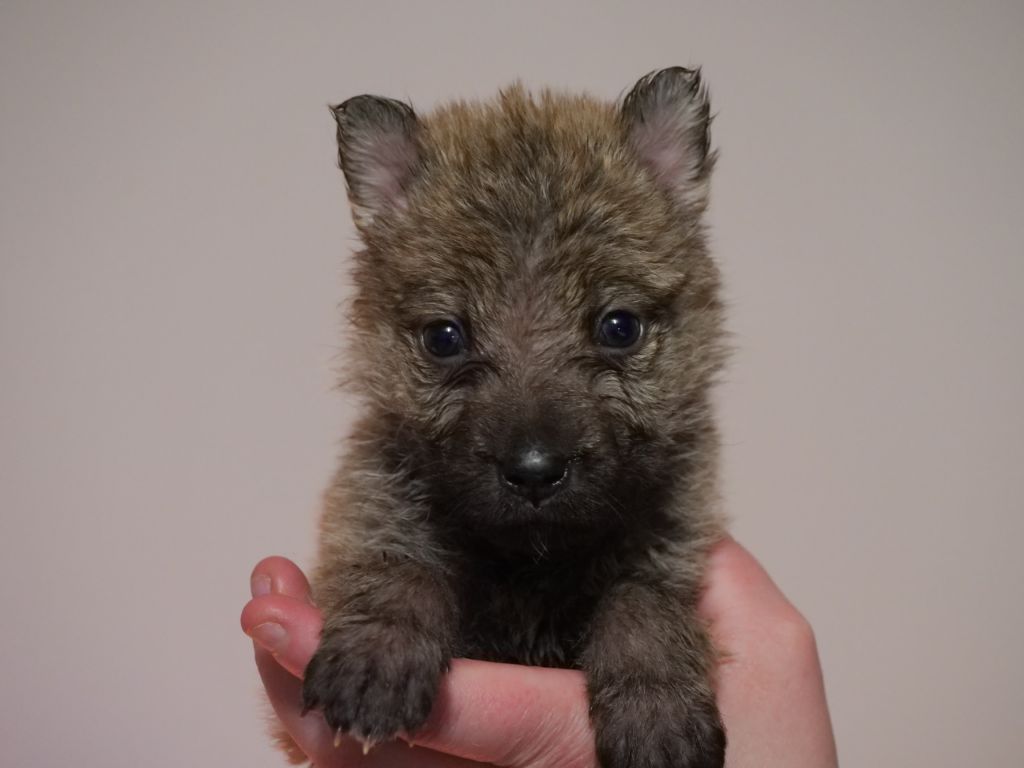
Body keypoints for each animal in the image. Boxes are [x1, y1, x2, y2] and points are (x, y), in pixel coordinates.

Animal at [297, 67, 728, 768]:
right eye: (444, 337)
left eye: (620, 327)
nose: (533, 471)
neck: (531, 561)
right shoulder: (373, 498)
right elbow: (399, 568)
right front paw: (376, 659)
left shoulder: (673, 542)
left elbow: (643, 603)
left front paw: (658, 715)